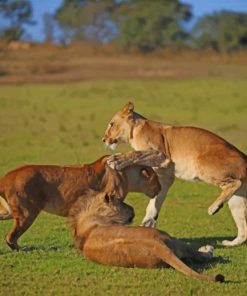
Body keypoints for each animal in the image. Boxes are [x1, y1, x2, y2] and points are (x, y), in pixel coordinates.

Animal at [0, 150, 163, 250]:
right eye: (156, 179)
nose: (161, 188)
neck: (127, 175)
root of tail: (5, 178)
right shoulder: (111, 201)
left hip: (9, 212)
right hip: (27, 213)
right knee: (10, 237)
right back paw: (22, 248)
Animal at [70, 191, 225, 284]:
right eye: (121, 201)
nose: (133, 209)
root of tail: (157, 245)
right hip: (170, 237)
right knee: (197, 254)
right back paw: (208, 249)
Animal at [102, 103, 247, 246]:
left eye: (111, 124)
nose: (104, 139)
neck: (134, 131)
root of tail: (244, 158)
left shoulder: (161, 154)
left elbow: (136, 154)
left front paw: (116, 160)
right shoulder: (164, 175)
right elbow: (154, 203)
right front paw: (147, 226)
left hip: (201, 164)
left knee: (235, 182)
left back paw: (214, 208)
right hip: (237, 198)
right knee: (244, 229)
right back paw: (231, 243)